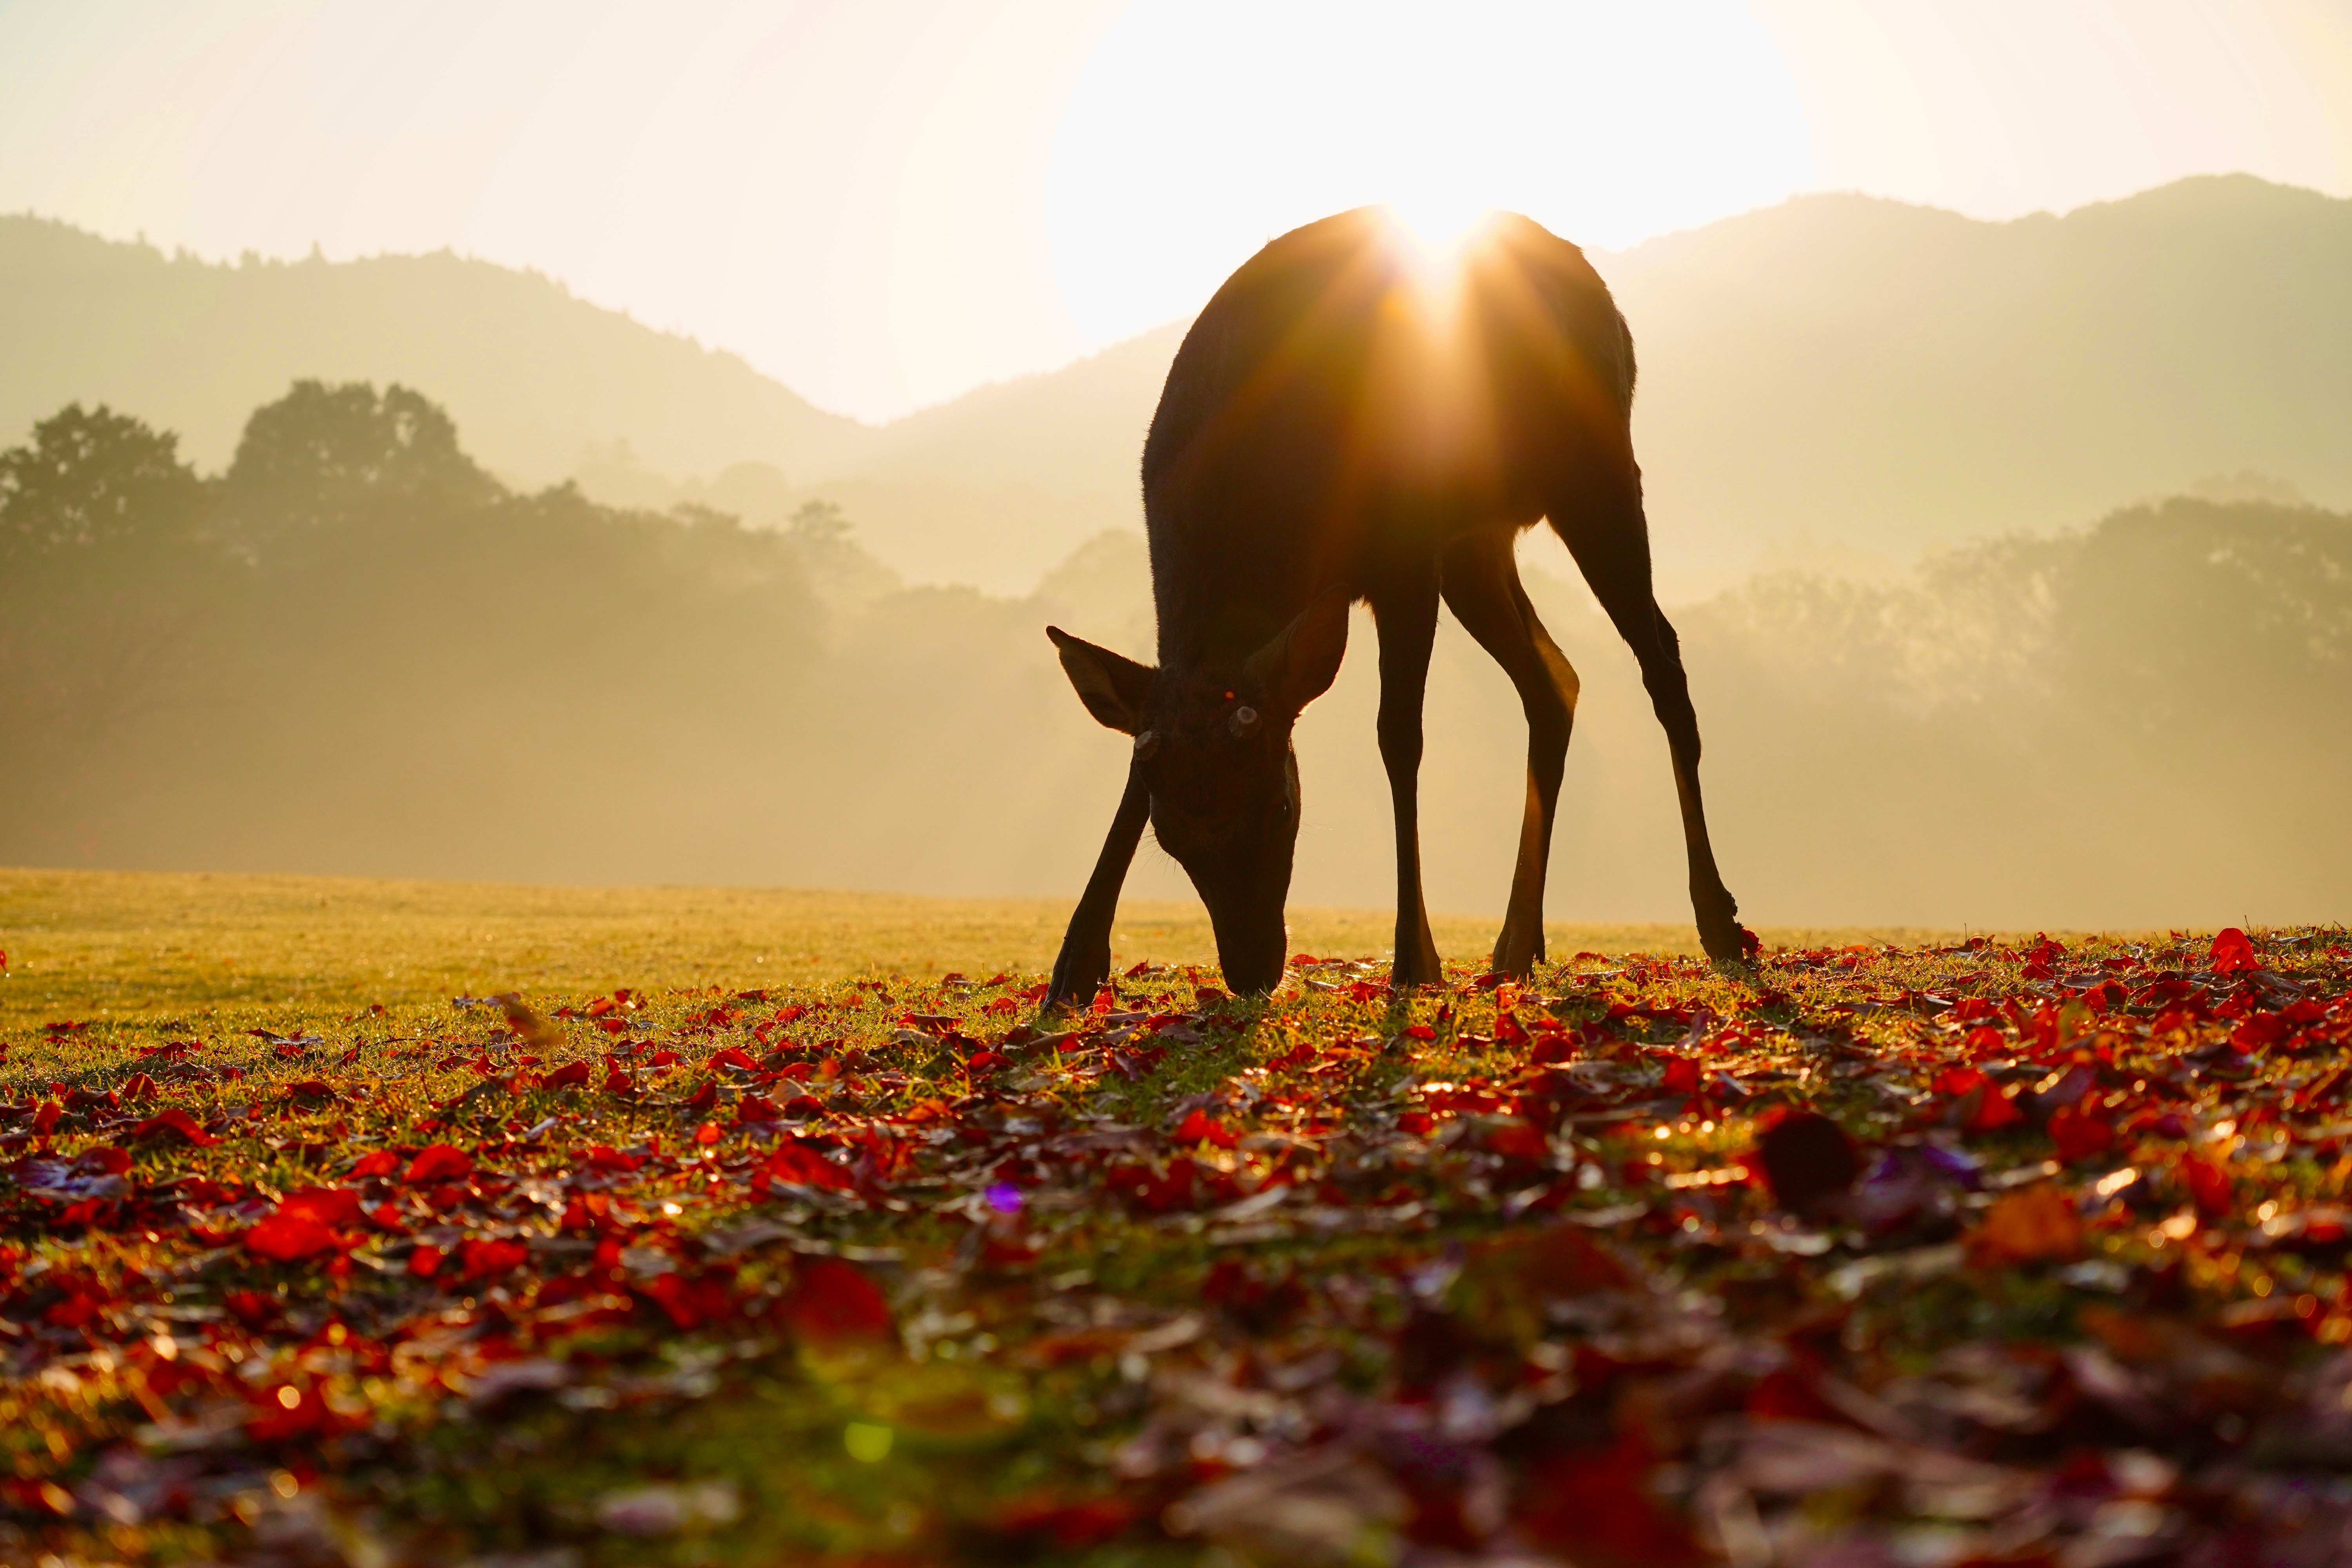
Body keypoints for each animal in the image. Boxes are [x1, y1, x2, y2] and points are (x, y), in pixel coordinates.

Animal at [1044, 207, 1753, 1004]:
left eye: (1280, 806)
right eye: (1171, 837)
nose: (1252, 971)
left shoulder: (1405, 553)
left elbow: (1398, 738)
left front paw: (1415, 958)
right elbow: (1134, 760)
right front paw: (1074, 962)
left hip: (1596, 472)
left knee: (1662, 659)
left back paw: (1719, 920)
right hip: (1477, 543)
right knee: (1556, 678)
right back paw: (1518, 941)